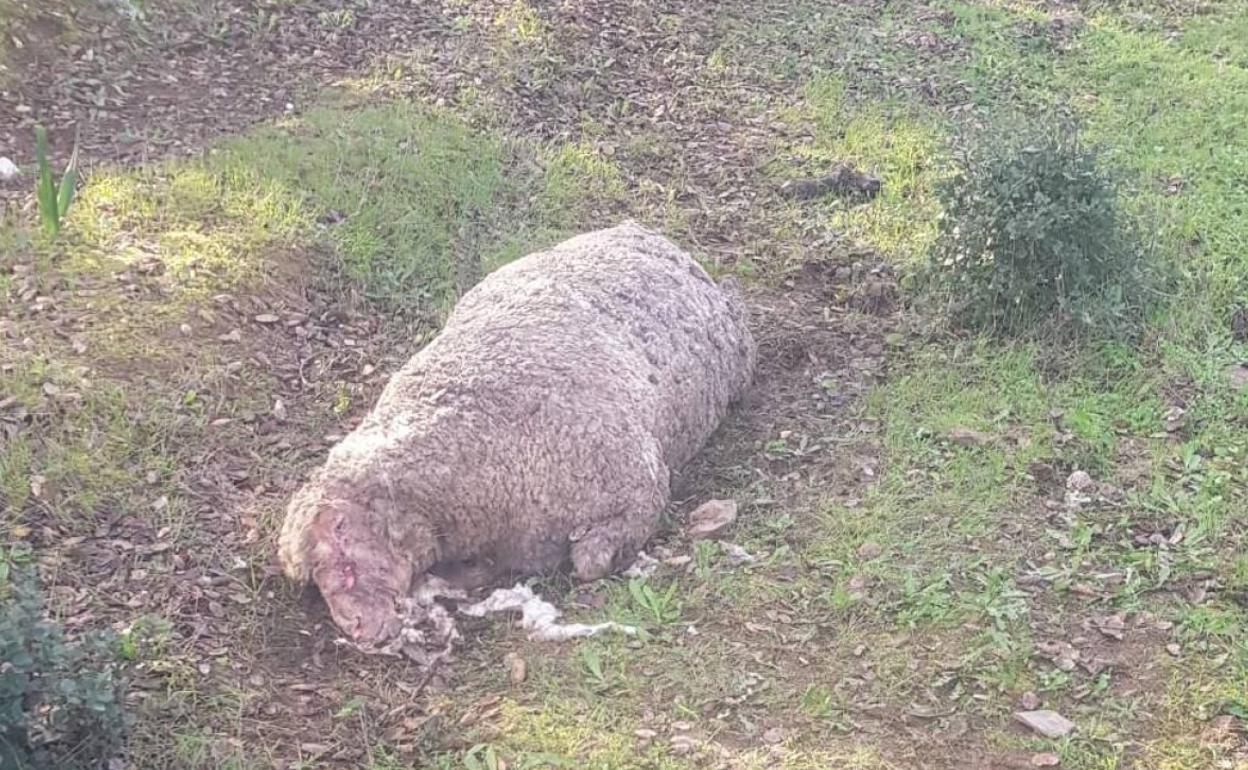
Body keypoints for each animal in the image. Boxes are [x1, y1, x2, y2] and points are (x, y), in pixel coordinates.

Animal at [277, 222, 756, 643]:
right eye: (315, 580)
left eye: (343, 557)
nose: (361, 629)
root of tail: (653, 238)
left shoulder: (636, 488)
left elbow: (591, 561)